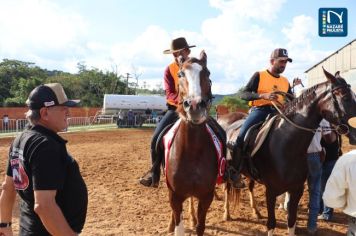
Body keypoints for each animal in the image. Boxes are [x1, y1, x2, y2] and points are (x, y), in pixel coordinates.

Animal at [165, 50, 218, 235]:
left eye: (207, 73)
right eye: (180, 74)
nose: (195, 106)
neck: (192, 151)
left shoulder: (207, 196)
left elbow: (200, 226)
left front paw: (195, 221)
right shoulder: (175, 196)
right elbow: (178, 225)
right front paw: (173, 225)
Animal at [220, 67, 356, 235]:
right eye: (345, 96)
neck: (286, 144)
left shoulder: (296, 190)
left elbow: (291, 221)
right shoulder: (271, 191)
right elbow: (271, 223)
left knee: (250, 187)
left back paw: (256, 212)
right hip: (228, 170)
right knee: (227, 188)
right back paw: (226, 214)